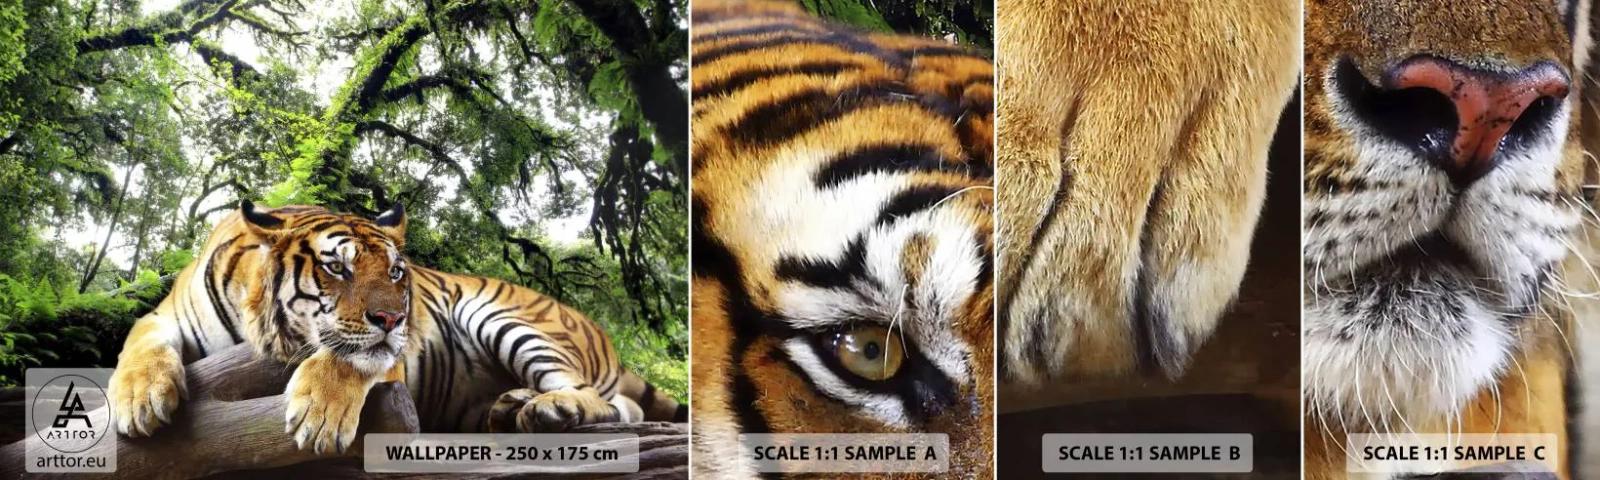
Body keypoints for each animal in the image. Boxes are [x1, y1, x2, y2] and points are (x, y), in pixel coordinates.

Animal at [106, 201, 685, 454]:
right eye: (337, 267)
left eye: (395, 273)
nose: (395, 317)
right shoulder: (163, 316)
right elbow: (138, 344)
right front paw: (139, 400)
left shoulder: (388, 352)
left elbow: (349, 358)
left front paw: (318, 416)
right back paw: (511, 406)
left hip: (506, 318)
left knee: (602, 400)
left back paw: (549, 408)